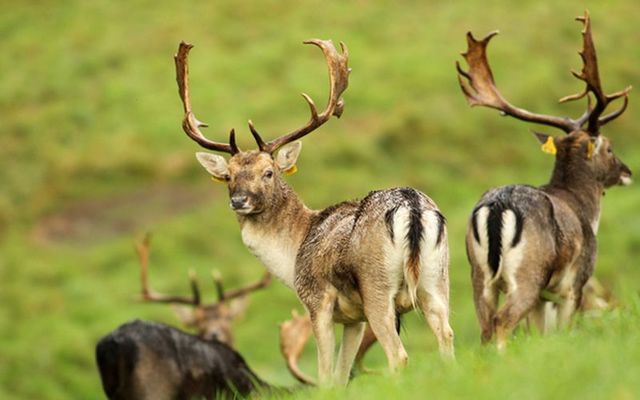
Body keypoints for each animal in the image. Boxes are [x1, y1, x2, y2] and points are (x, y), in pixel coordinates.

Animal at [176, 39, 456, 384]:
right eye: (228, 175)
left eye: (269, 172)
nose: (239, 200)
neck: (294, 249)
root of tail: (412, 206)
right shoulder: (353, 319)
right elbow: (342, 374)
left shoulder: (316, 299)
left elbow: (325, 374)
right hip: (438, 279)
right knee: (447, 339)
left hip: (378, 288)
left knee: (399, 355)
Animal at [458, 10, 632, 352]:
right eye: (609, 147)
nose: (627, 172)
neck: (586, 212)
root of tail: (497, 208)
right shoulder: (574, 284)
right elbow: (565, 331)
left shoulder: (543, 298)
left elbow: (540, 336)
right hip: (528, 272)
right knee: (501, 322)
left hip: (478, 273)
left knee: (485, 327)